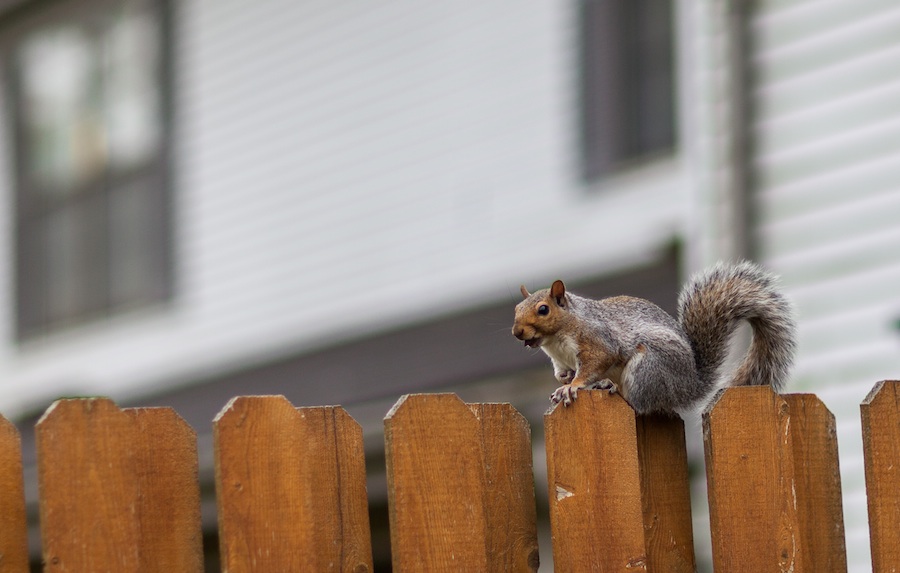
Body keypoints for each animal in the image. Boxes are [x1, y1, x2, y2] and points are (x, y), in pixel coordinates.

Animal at [510, 262, 800, 414]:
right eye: (516, 309)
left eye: (543, 310)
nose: (517, 332)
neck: (555, 342)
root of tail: (689, 387)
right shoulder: (561, 361)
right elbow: (563, 373)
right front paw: (564, 382)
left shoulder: (597, 340)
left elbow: (596, 363)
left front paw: (574, 386)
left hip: (648, 367)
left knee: (641, 405)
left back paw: (616, 390)